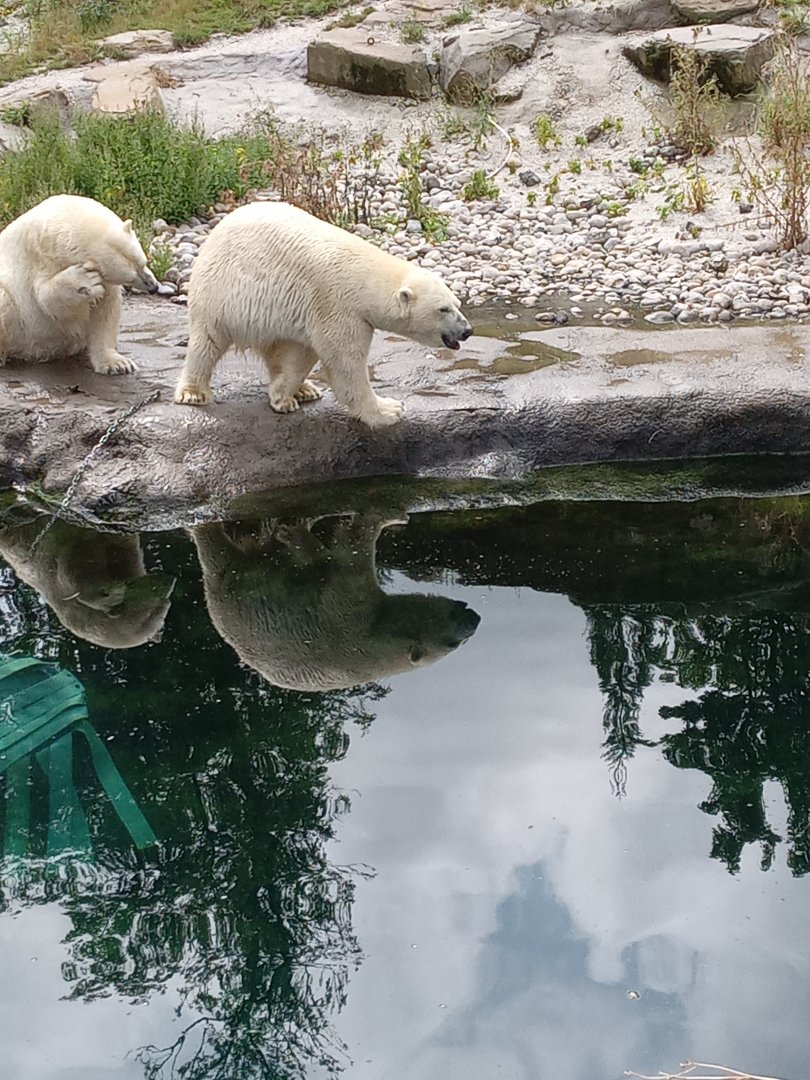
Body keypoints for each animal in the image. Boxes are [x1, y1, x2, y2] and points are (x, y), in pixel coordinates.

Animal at [0, 194, 159, 375]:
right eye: (131, 277)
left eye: (143, 263)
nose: (153, 287)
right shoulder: (40, 260)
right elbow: (47, 299)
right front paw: (85, 281)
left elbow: (105, 311)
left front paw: (118, 364)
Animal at [173, 201, 472, 428]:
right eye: (443, 309)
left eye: (457, 303)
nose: (467, 330)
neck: (364, 281)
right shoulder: (340, 307)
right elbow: (345, 365)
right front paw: (389, 410)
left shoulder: (314, 310)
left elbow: (303, 352)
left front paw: (283, 395)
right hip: (222, 294)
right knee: (208, 340)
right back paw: (193, 393)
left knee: (277, 344)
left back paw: (306, 389)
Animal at [190, 513, 481, 691]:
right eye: (453, 643)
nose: (475, 619)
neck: (376, 634)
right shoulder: (348, 613)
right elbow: (351, 553)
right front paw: (386, 516)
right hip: (232, 592)